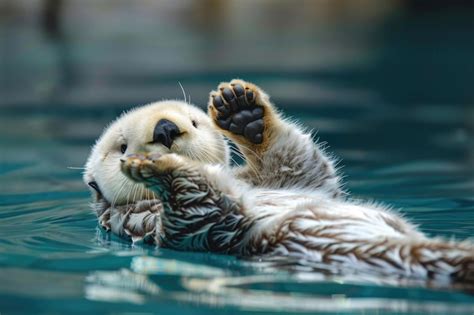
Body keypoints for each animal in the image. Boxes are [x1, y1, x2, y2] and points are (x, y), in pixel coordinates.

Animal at [83, 79, 472, 284]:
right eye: (121, 146)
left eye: (194, 123)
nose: (165, 129)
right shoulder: (150, 221)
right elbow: (203, 210)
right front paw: (154, 167)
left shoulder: (297, 180)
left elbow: (302, 165)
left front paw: (241, 112)